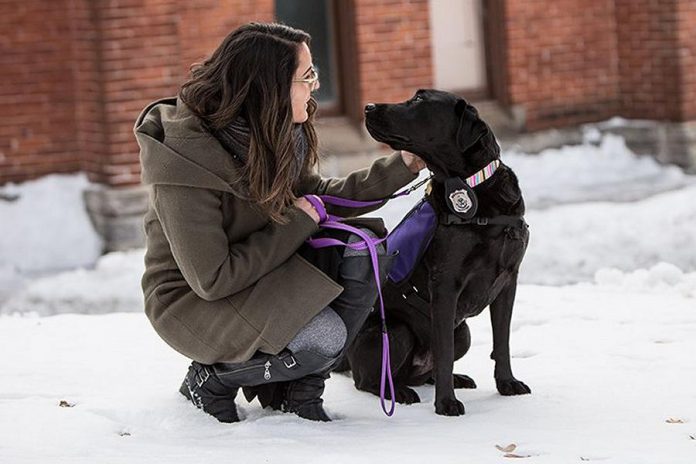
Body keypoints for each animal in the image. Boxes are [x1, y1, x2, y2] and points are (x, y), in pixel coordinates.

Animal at [334, 89, 532, 416]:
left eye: (418, 100)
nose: (368, 107)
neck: (472, 187)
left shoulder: (509, 280)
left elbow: (501, 342)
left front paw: (507, 383)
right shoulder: (445, 284)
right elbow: (444, 352)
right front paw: (446, 403)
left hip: (463, 333)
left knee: (427, 370)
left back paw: (455, 378)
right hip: (396, 332)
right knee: (369, 380)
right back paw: (400, 392)